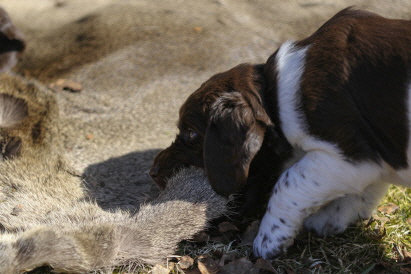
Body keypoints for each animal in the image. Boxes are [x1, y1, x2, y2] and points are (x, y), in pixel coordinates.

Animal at [150, 8, 411, 260]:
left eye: (192, 135)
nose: (152, 172)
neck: (274, 96)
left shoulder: (349, 156)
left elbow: (288, 183)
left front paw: (269, 239)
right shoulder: (374, 159)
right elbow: (366, 190)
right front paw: (330, 219)